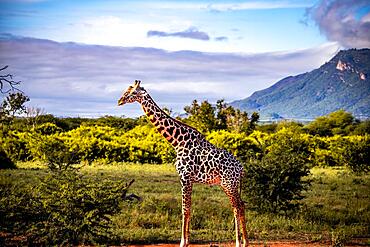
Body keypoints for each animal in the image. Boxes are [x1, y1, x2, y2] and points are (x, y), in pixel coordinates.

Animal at [118, 80, 249, 246]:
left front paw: (183, 242)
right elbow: (188, 208)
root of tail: (241, 168)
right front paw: (186, 241)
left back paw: (239, 242)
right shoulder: (188, 179)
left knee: (237, 207)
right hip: (229, 185)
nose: (120, 101)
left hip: (229, 183)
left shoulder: (184, 176)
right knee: (241, 205)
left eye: (133, 92)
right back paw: (245, 242)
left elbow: (184, 209)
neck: (177, 141)